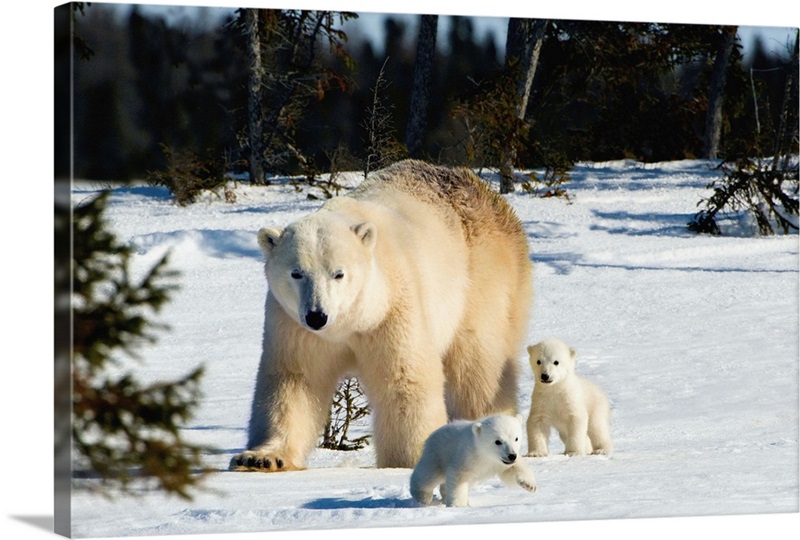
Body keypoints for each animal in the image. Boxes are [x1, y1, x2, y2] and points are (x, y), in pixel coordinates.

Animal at [230, 160, 532, 472]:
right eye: (296, 273)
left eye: (338, 273)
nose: (317, 316)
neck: (352, 321)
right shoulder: (294, 326)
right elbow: (295, 380)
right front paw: (261, 458)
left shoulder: (392, 309)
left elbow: (403, 379)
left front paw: (408, 460)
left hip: (481, 279)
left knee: (479, 365)